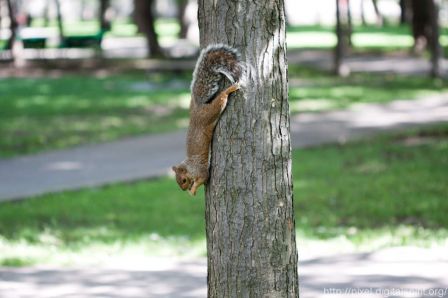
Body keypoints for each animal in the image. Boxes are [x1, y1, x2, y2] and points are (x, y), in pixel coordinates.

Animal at [172, 43, 243, 194]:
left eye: (183, 180)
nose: (184, 189)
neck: (189, 165)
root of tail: (197, 107)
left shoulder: (200, 170)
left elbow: (204, 177)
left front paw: (192, 190)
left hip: (211, 112)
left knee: (221, 99)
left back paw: (229, 90)